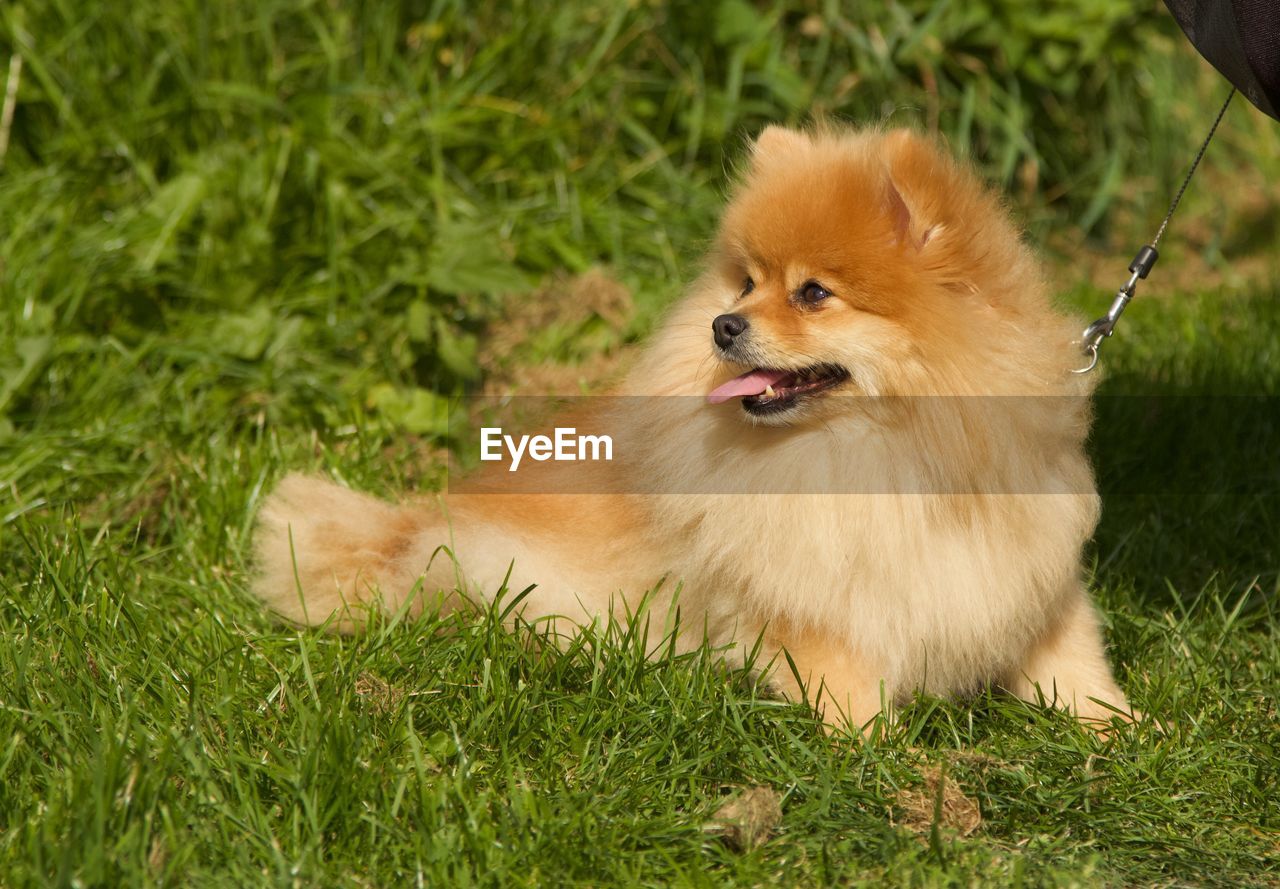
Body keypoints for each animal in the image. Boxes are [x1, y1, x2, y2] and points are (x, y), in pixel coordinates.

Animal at [254, 126, 1136, 736]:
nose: (722, 324)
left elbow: (1072, 659)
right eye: (746, 282)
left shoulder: (1023, 576)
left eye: (813, 293)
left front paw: (1121, 728)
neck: (894, 452)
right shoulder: (816, 613)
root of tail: (407, 528)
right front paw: (892, 759)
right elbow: (852, 690)